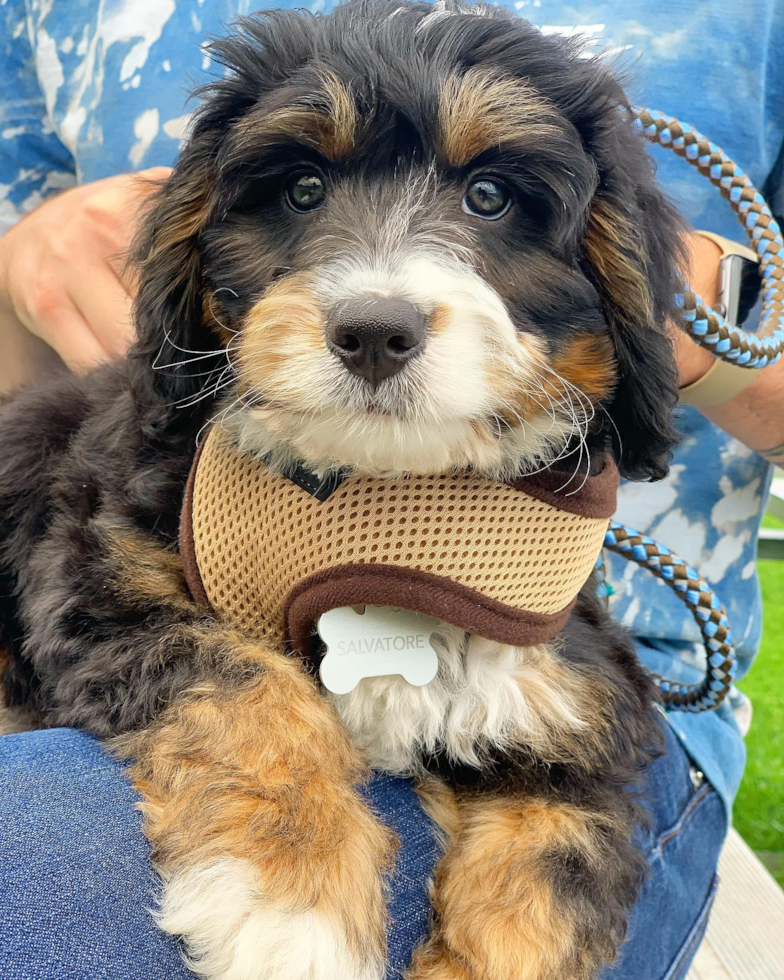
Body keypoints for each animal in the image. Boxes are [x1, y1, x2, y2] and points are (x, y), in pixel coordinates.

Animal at [0, 3, 688, 976]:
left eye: (490, 197)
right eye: (301, 190)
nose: (372, 330)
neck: (384, 509)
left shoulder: (578, 713)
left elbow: (552, 873)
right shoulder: (103, 579)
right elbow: (248, 686)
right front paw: (292, 902)